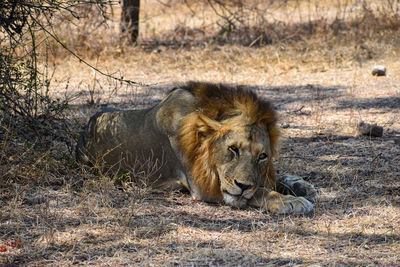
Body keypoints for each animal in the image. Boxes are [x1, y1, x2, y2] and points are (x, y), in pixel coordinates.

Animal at [76, 82, 318, 215]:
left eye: (262, 156)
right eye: (233, 149)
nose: (242, 186)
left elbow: (269, 180)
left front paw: (302, 186)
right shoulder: (202, 186)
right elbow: (259, 191)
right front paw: (291, 201)